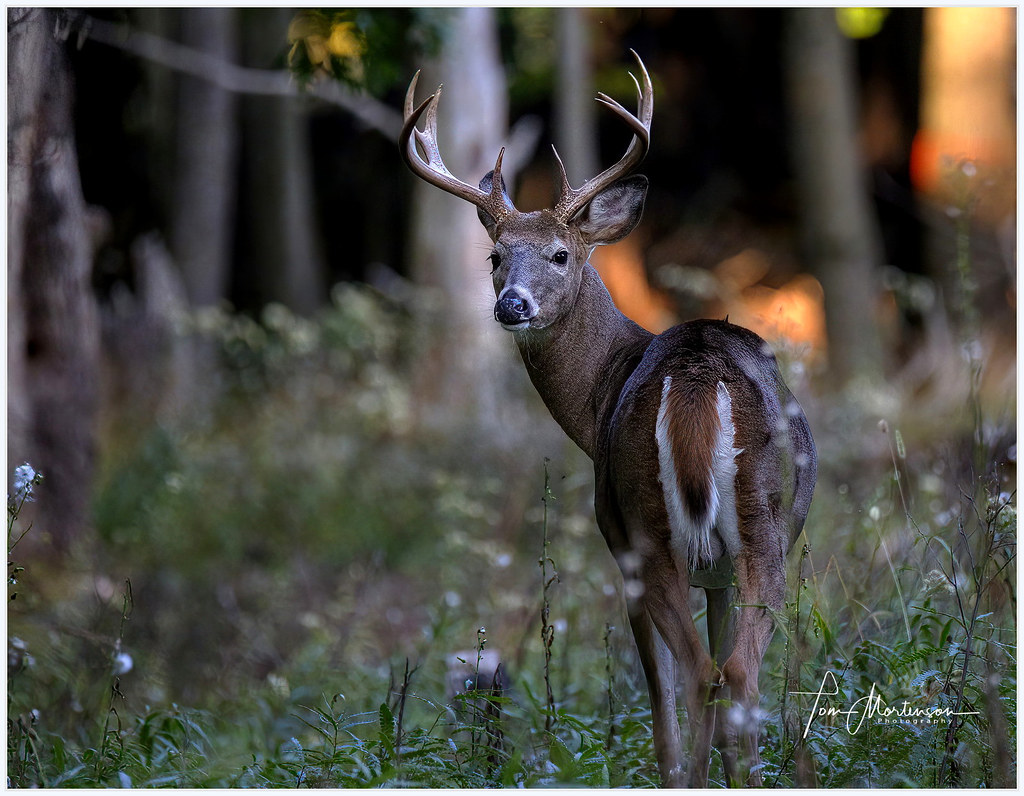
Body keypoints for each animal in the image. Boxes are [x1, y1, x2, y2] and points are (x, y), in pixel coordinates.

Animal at [399, 52, 815, 786]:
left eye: (560, 254)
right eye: (495, 256)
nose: (511, 304)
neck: (598, 399)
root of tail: (696, 379)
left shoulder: (617, 543)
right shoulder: (715, 579)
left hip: (648, 529)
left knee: (700, 675)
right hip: (763, 528)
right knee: (737, 673)